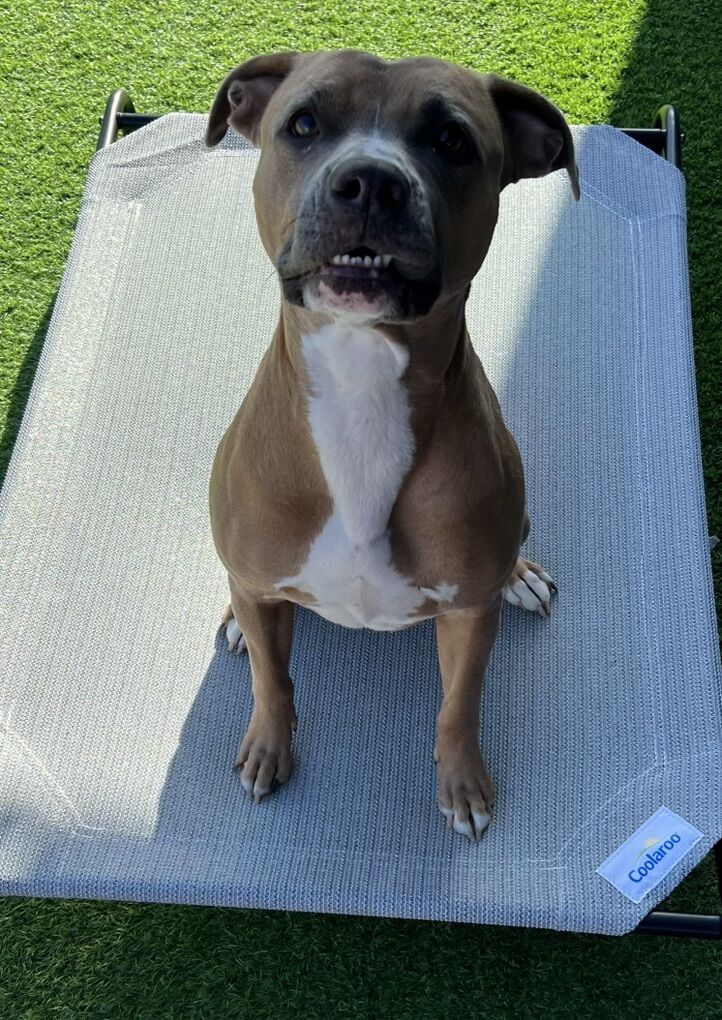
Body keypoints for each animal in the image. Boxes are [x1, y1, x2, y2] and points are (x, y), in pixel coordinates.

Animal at [205, 49, 578, 841]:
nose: (371, 181)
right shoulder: (262, 583)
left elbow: (460, 705)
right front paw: (268, 747)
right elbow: (272, 680)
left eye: (452, 140)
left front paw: (463, 785)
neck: (362, 381)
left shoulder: (467, 614)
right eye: (303, 123)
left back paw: (521, 575)